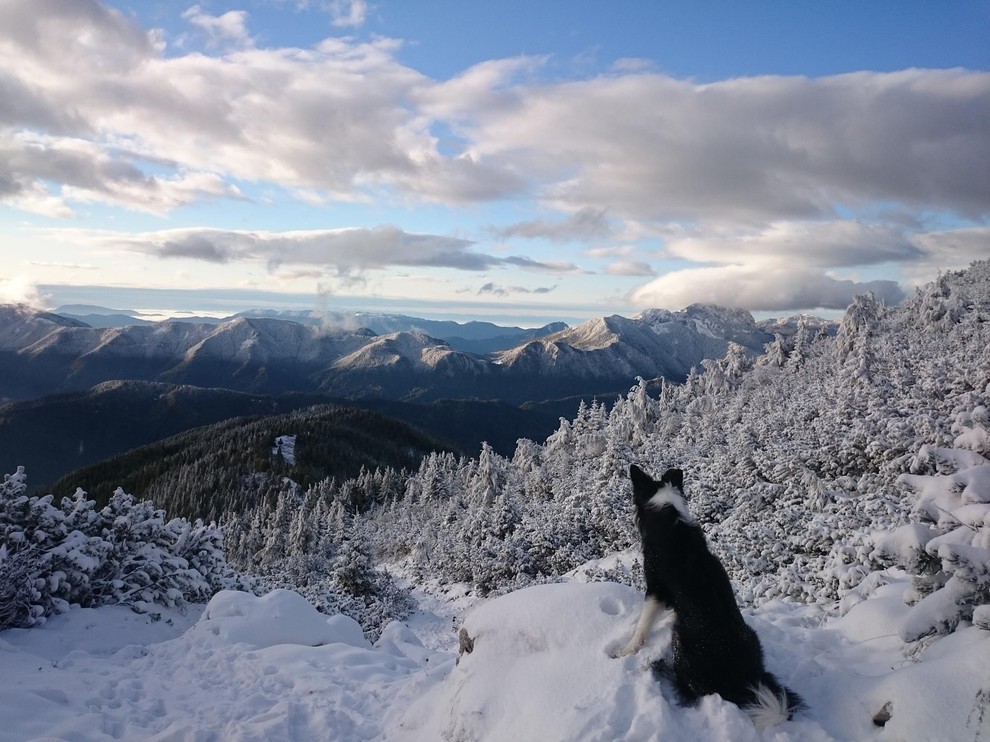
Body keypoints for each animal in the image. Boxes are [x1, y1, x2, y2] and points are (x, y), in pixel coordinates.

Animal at [620, 464, 808, 732]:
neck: (668, 520)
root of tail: (742, 676)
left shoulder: (656, 589)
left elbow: (642, 625)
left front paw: (625, 650)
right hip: (752, 637)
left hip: (681, 642)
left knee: (692, 688)